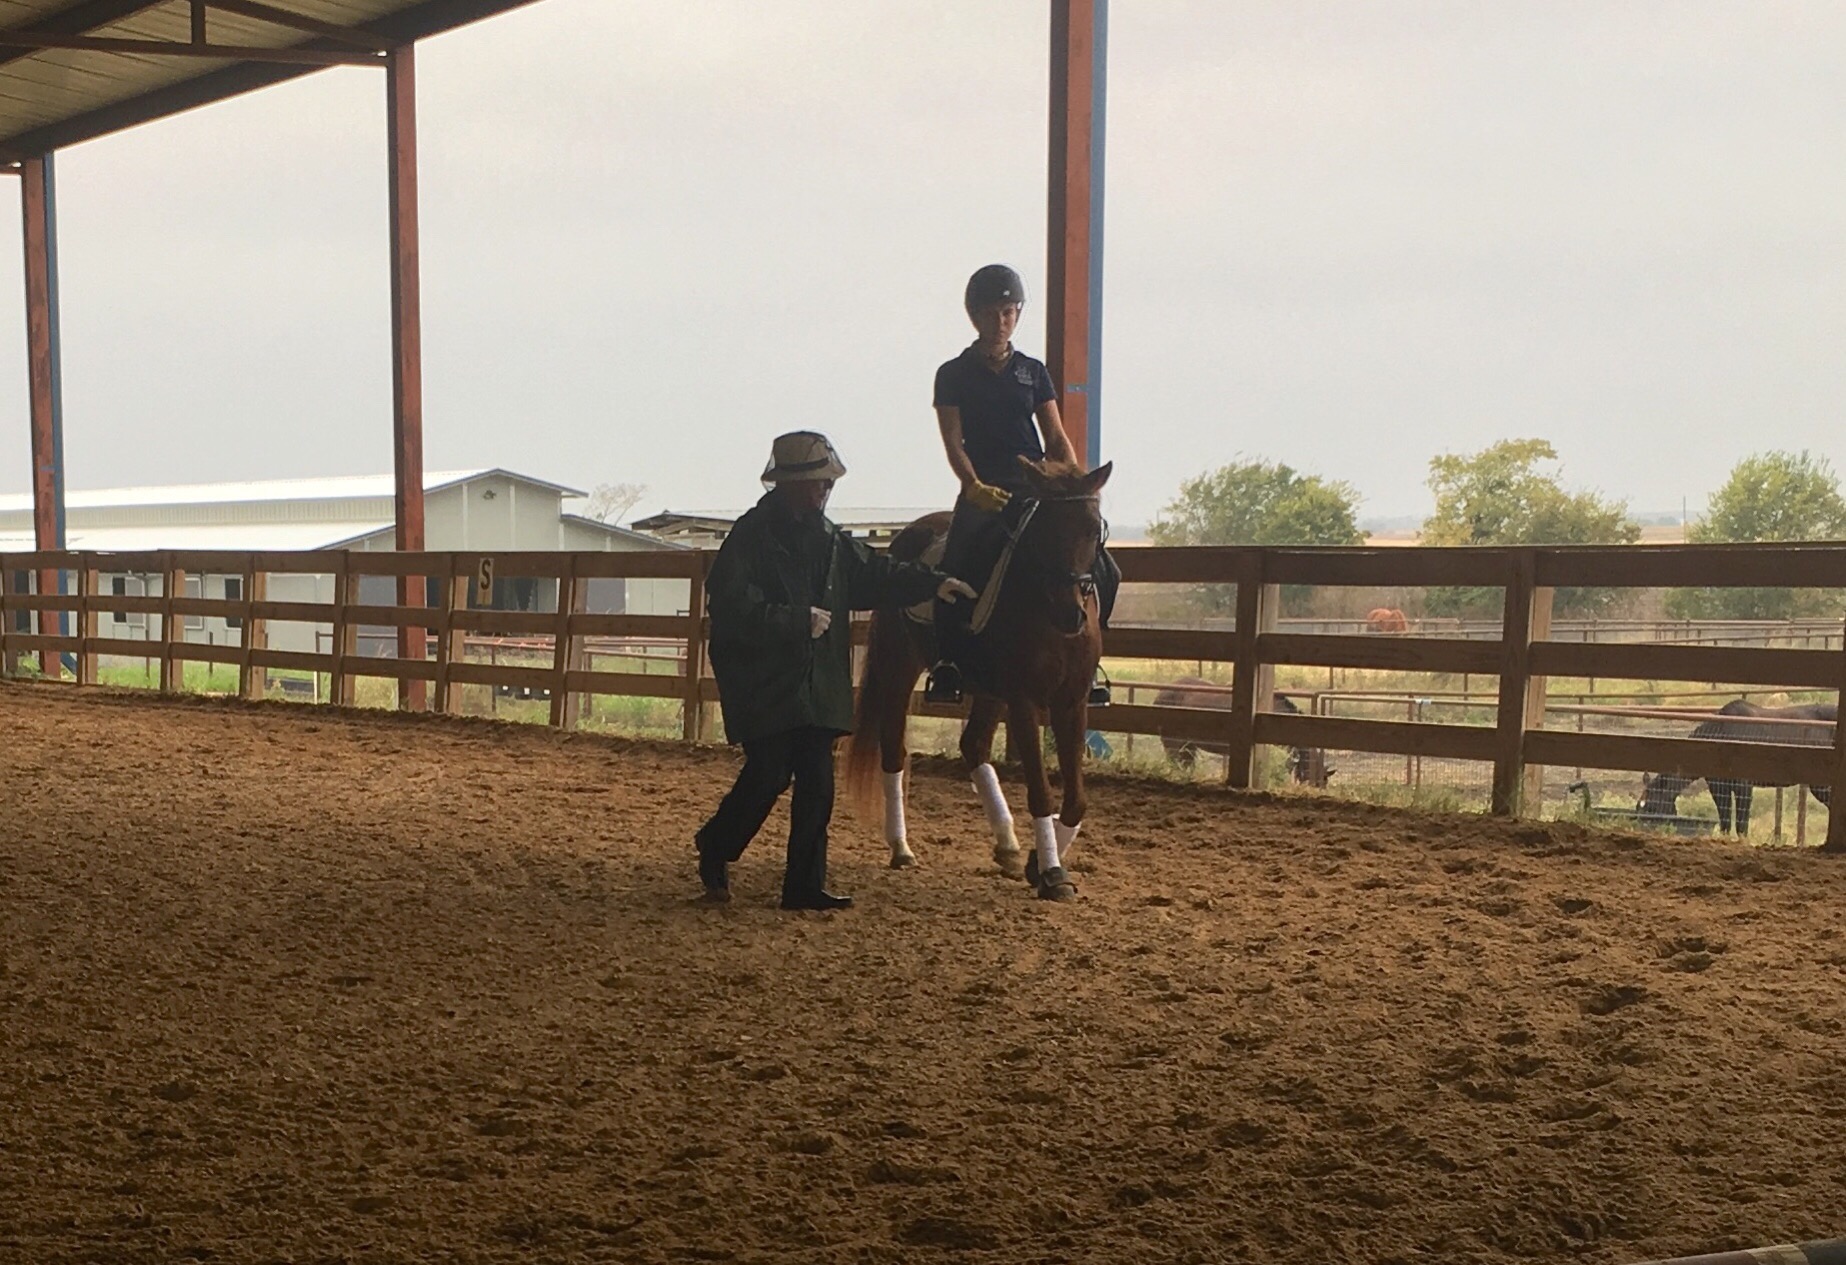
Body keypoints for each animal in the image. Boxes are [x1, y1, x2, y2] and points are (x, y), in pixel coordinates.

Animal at [845, 458, 1112, 901]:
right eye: (1044, 530)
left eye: (1093, 530)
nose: (1069, 614)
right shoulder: (1023, 700)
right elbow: (1041, 793)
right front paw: (1052, 872)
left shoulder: (1072, 702)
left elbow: (1077, 800)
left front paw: (1038, 862)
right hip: (900, 665)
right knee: (894, 749)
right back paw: (901, 847)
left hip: (989, 690)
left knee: (972, 744)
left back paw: (1007, 846)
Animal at [1637, 699, 1836, 836]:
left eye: (1651, 807)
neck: (1722, 735)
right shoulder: (1719, 787)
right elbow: (1725, 823)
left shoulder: (1743, 786)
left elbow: (1742, 826)